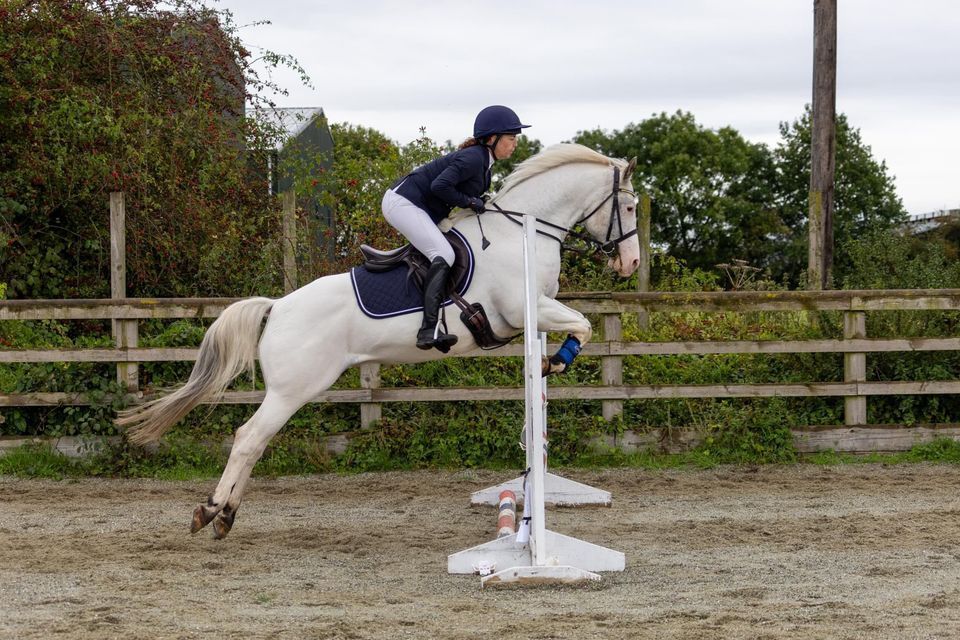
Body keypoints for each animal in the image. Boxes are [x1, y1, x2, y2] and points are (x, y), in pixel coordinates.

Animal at [122, 142, 644, 536]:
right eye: (630, 206)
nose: (632, 264)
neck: (524, 229)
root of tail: (278, 307)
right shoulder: (521, 309)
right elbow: (583, 324)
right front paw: (556, 361)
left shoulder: (532, 313)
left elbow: (579, 324)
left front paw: (548, 364)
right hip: (294, 389)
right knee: (249, 438)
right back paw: (213, 510)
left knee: (255, 442)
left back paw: (226, 515)